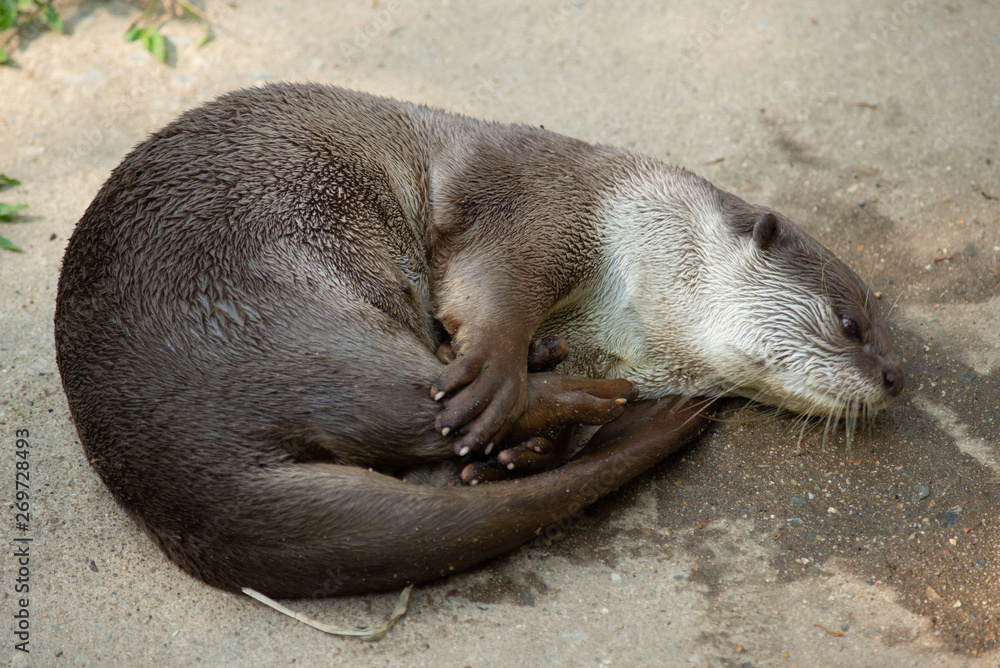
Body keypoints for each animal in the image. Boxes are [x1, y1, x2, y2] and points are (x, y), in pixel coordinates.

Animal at [54, 83, 902, 598]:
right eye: (851, 323)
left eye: (886, 339)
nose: (896, 379)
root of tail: (162, 466)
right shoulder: (540, 206)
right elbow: (495, 284)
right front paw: (500, 364)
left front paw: (521, 454)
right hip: (279, 314)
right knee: (417, 403)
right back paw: (579, 397)